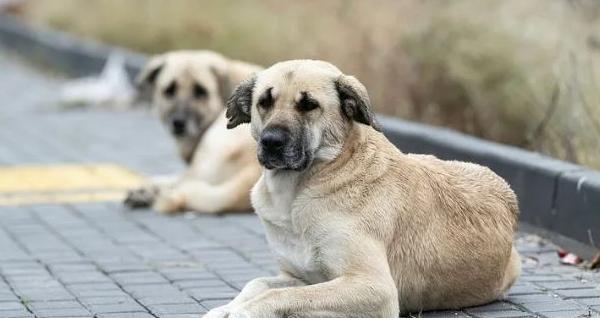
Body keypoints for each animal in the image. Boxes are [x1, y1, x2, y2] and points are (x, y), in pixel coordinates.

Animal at [203, 60, 520, 318]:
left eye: (309, 105)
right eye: (264, 102)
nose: (270, 142)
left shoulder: (373, 287)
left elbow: (280, 295)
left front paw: (243, 311)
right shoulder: (301, 276)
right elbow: (257, 283)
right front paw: (227, 307)